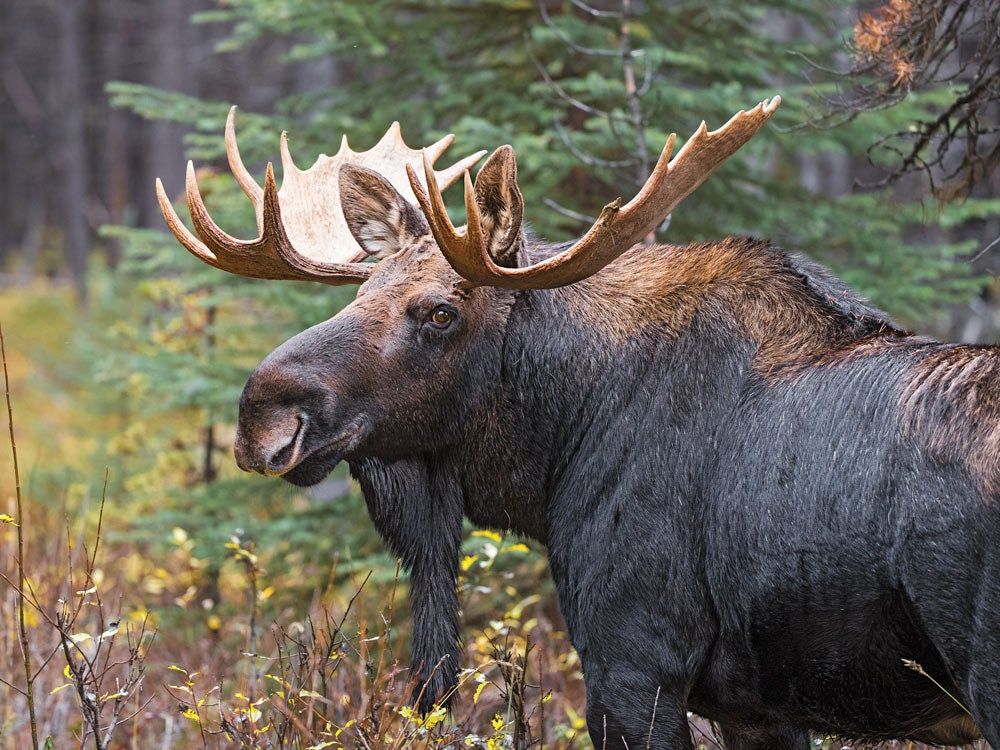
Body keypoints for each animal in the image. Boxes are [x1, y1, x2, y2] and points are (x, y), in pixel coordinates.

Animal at [155, 97, 1000, 749]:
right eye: (359, 296)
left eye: (439, 312)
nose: (262, 411)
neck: (554, 451)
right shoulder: (760, 707)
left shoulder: (633, 661)